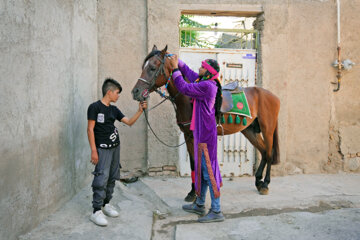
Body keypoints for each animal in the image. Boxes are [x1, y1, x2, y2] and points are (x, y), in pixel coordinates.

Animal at [132, 45, 282, 195]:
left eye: (152, 68)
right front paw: (192, 192)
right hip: (249, 130)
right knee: (263, 151)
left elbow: (199, 162)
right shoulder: (188, 135)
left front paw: (198, 191)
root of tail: (273, 96)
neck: (189, 98)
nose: (135, 92)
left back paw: (265, 184)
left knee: (269, 153)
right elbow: (193, 162)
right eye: (143, 67)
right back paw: (258, 181)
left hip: (267, 129)